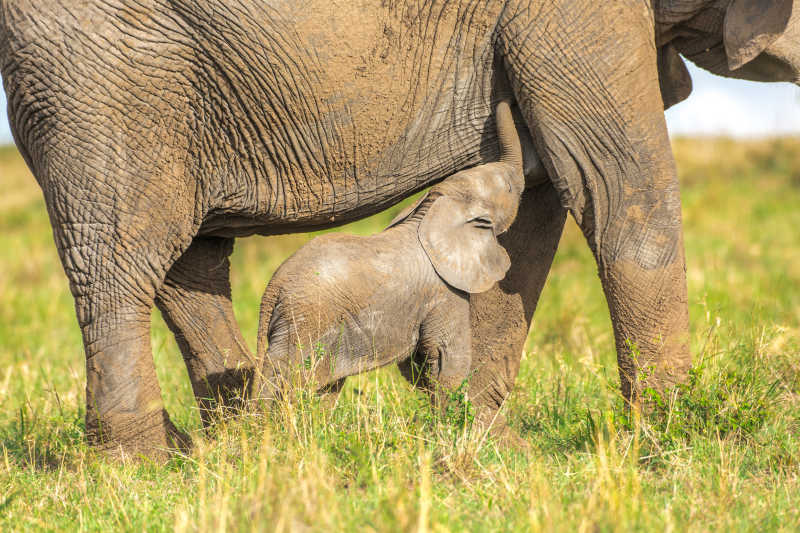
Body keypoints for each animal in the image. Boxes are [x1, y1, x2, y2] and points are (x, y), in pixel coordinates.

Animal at [256, 98, 528, 400]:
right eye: (509, 187)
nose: (506, 100)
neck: (434, 206)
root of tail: (272, 289)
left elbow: (419, 365)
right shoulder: (444, 291)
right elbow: (448, 360)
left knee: (325, 387)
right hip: (305, 320)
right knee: (283, 380)